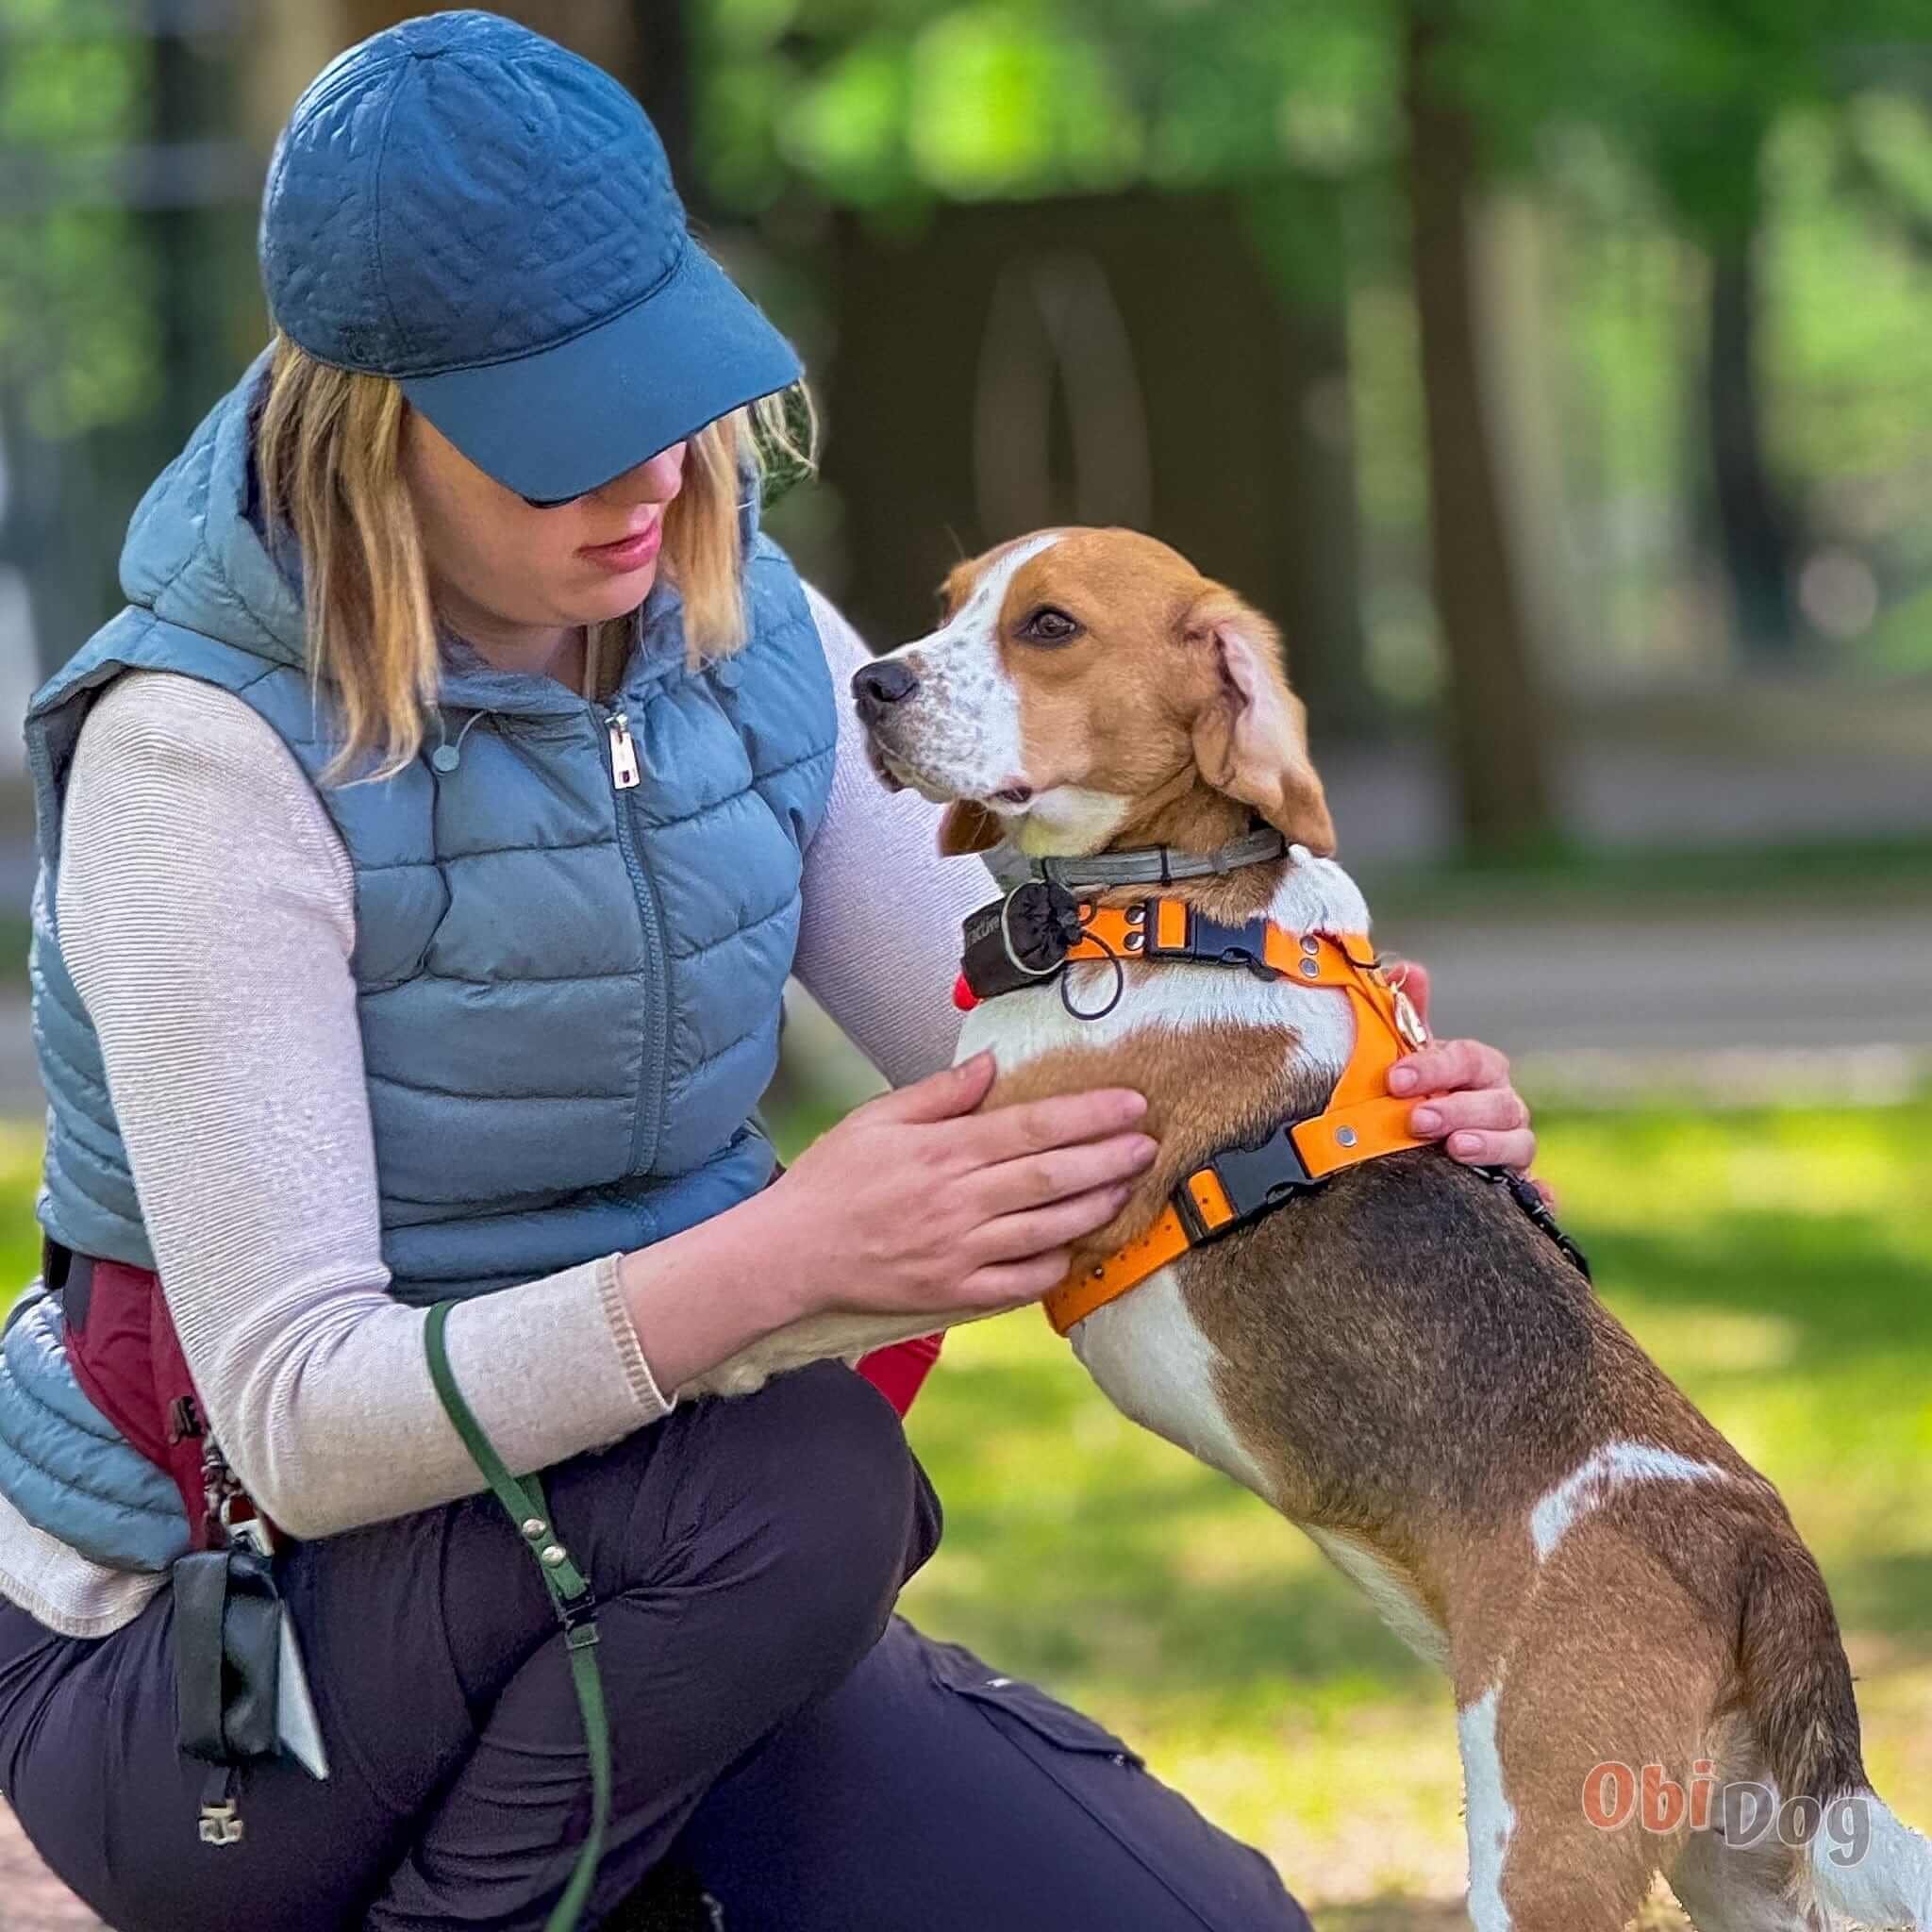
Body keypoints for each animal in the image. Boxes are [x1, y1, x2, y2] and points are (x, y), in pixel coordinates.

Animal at [688, 529, 1924, 1932]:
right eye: (954, 605)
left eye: (1048, 626)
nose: (870, 687)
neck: (1167, 905)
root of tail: (1760, 1554)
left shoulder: (985, 1200)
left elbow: (809, 1283)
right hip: (1733, 1857)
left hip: (1541, 1842)